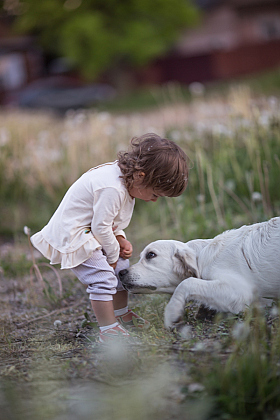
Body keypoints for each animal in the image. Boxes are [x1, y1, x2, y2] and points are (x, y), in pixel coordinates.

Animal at [119, 217, 280, 328]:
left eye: (151, 255)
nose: (121, 273)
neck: (202, 256)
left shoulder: (240, 291)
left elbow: (186, 283)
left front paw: (172, 313)